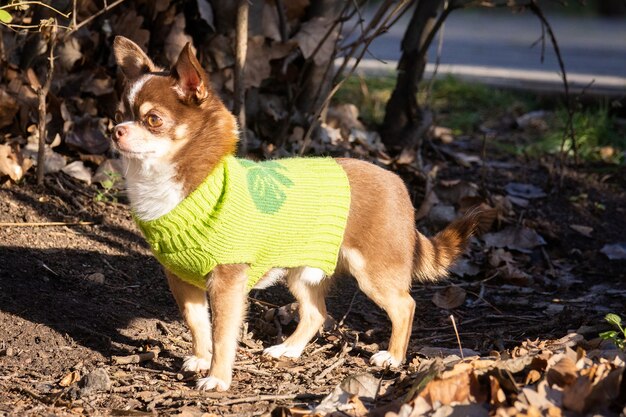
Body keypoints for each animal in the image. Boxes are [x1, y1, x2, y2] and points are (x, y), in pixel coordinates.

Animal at [109, 35, 476, 390]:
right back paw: (289, 349)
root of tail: (398, 184)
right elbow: (198, 323)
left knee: (404, 306)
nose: (115, 131)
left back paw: (393, 357)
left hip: (374, 273)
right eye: (117, 114)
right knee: (316, 313)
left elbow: (223, 333)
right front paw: (202, 358)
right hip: (302, 271)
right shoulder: (182, 279)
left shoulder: (228, 282)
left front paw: (218, 378)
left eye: (153, 120)